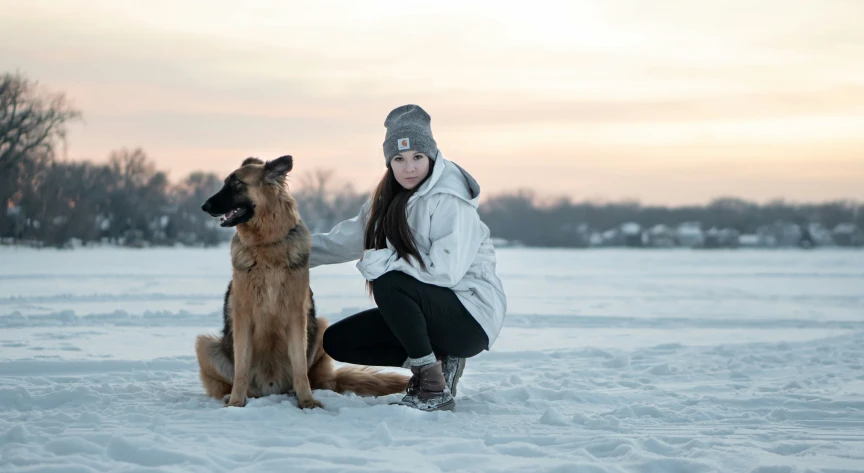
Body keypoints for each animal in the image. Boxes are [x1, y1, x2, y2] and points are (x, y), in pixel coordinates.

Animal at [196, 155, 408, 406]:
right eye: (225, 183)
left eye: (237, 183)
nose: (204, 206)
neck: (267, 247)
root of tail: (271, 388)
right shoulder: (243, 316)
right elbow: (241, 370)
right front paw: (236, 404)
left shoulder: (295, 314)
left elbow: (299, 368)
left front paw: (307, 402)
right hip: (204, 344)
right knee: (237, 382)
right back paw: (235, 395)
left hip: (321, 330)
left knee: (313, 378)